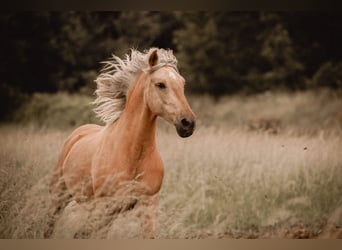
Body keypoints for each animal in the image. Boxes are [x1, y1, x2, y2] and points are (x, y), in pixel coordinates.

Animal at [45, 47, 195, 237]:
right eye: (160, 84)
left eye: (182, 84)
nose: (188, 123)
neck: (133, 154)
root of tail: (76, 135)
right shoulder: (105, 207)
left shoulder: (148, 206)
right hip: (59, 197)